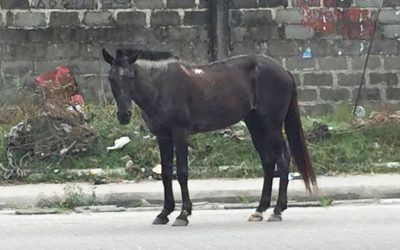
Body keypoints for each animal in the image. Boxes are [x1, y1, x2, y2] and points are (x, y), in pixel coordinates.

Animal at [101, 48, 318, 227]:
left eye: (130, 76)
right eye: (111, 78)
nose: (124, 115)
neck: (160, 85)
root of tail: (284, 71)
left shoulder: (180, 133)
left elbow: (181, 172)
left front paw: (183, 214)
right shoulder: (163, 137)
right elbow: (165, 174)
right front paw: (164, 213)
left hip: (271, 126)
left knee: (282, 160)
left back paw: (277, 210)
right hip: (255, 125)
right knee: (268, 162)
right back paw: (259, 210)